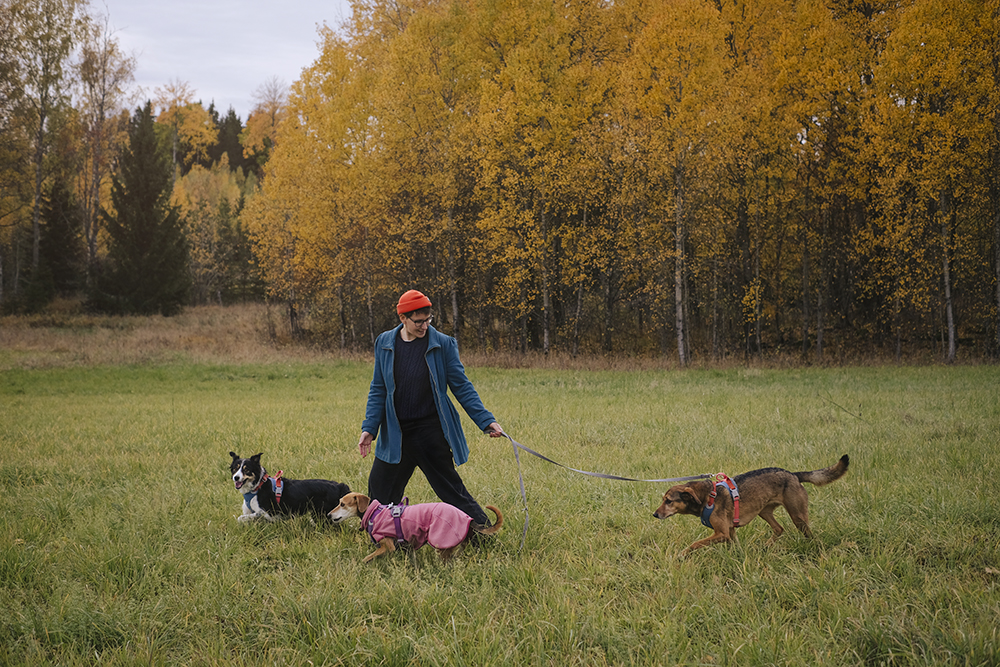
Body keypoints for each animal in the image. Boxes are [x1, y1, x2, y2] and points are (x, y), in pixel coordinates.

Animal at [328, 490, 504, 564]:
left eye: (342, 504)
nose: (329, 515)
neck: (374, 513)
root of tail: (468, 518)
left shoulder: (388, 546)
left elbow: (367, 558)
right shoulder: (406, 546)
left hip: (440, 543)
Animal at [652, 454, 848, 560]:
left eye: (668, 501)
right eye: (663, 500)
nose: (654, 514)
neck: (707, 497)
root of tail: (793, 474)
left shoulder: (721, 533)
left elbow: (695, 543)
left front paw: (682, 554)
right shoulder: (730, 532)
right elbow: (735, 547)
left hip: (798, 516)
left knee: (809, 536)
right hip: (764, 511)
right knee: (779, 528)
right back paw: (766, 547)